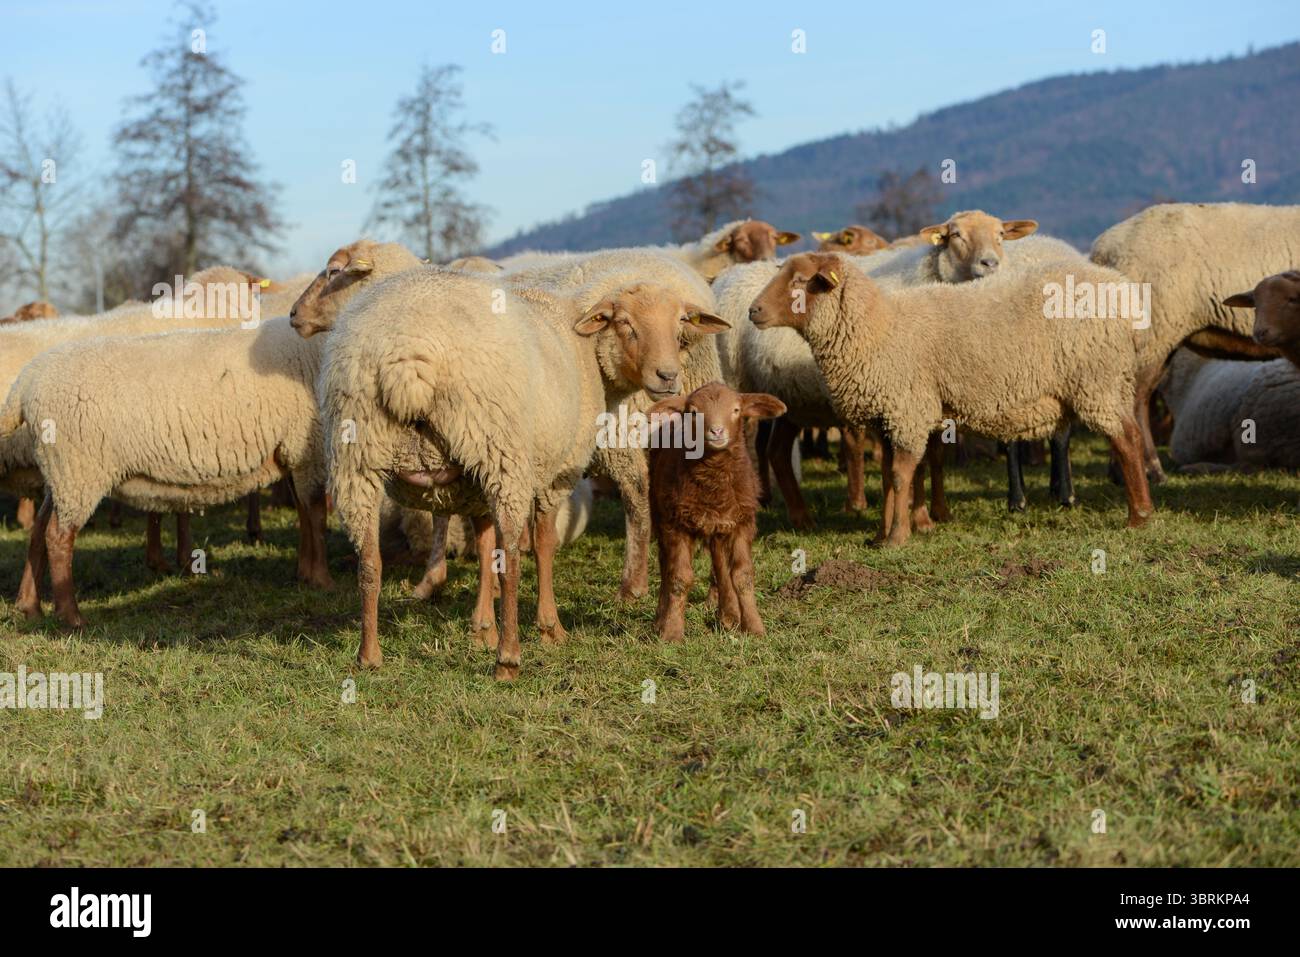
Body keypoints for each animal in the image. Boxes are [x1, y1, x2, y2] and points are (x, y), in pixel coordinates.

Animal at [317, 264, 729, 679]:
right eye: (626, 323)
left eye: (679, 327)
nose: (668, 377)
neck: (587, 349)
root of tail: (407, 359)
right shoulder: (555, 473)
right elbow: (542, 545)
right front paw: (548, 628)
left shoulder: (470, 485)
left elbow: (484, 545)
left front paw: (482, 628)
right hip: (500, 452)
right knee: (512, 562)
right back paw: (509, 658)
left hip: (358, 456)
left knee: (370, 561)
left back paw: (369, 656)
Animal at [648, 382, 786, 643]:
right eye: (693, 413)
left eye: (736, 410)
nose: (717, 431)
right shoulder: (676, 524)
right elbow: (679, 577)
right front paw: (672, 631)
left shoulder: (743, 523)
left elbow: (742, 575)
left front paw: (754, 627)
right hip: (659, 512)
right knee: (665, 563)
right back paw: (660, 619)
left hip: (720, 525)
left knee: (720, 563)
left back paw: (729, 616)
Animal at [746, 252, 1154, 544]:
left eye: (800, 280)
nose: (753, 310)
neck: (876, 330)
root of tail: (1123, 293)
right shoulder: (887, 415)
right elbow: (889, 475)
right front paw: (880, 535)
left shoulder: (907, 409)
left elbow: (902, 474)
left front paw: (897, 537)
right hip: (1106, 383)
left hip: (1097, 381)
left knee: (1126, 439)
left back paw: (1139, 516)